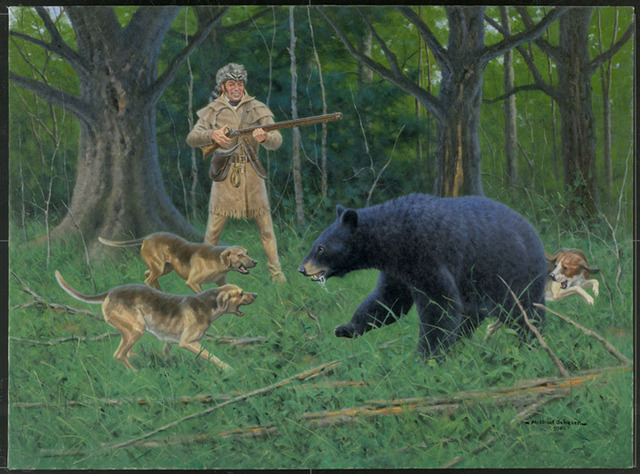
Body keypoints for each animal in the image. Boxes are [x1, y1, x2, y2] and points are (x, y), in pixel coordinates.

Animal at [298, 193, 547, 360]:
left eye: (321, 248)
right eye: (315, 244)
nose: (302, 268)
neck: (392, 237)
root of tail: (536, 236)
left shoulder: (427, 254)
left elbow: (439, 304)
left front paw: (426, 356)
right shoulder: (398, 269)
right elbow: (388, 301)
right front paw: (346, 328)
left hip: (512, 273)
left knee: (525, 312)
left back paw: (533, 344)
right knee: (472, 315)